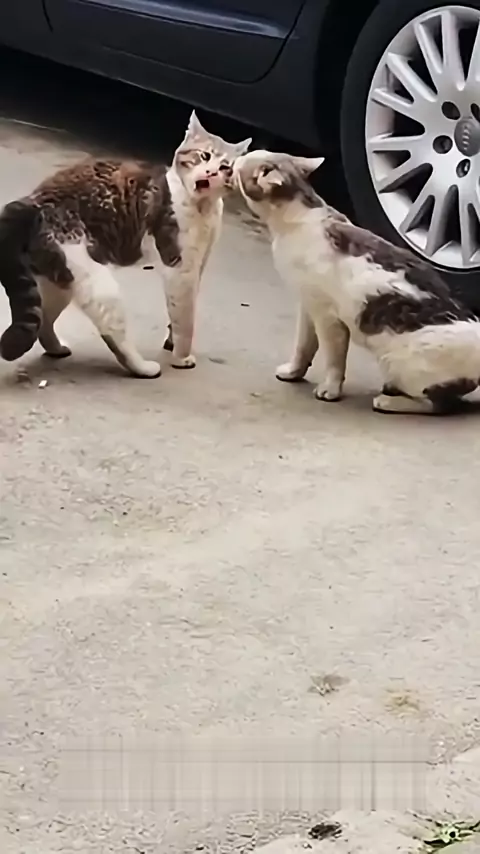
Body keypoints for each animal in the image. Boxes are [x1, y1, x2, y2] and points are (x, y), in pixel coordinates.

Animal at [0, 112, 251, 378]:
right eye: (204, 156)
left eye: (226, 167)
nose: (212, 173)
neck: (204, 207)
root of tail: (32, 201)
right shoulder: (179, 266)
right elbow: (186, 319)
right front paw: (181, 357)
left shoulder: (199, 263)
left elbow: (182, 311)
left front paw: (171, 341)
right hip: (98, 286)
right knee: (114, 337)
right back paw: (143, 367)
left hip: (60, 278)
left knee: (44, 319)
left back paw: (56, 348)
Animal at [234, 149, 480, 415]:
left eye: (244, 162)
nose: (236, 158)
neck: (294, 220)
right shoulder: (308, 304)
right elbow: (304, 345)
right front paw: (293, 372)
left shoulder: (328, 317)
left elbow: (333, 358)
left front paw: (330, 390)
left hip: (400, 364)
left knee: (439, 404)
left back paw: (386, 401)